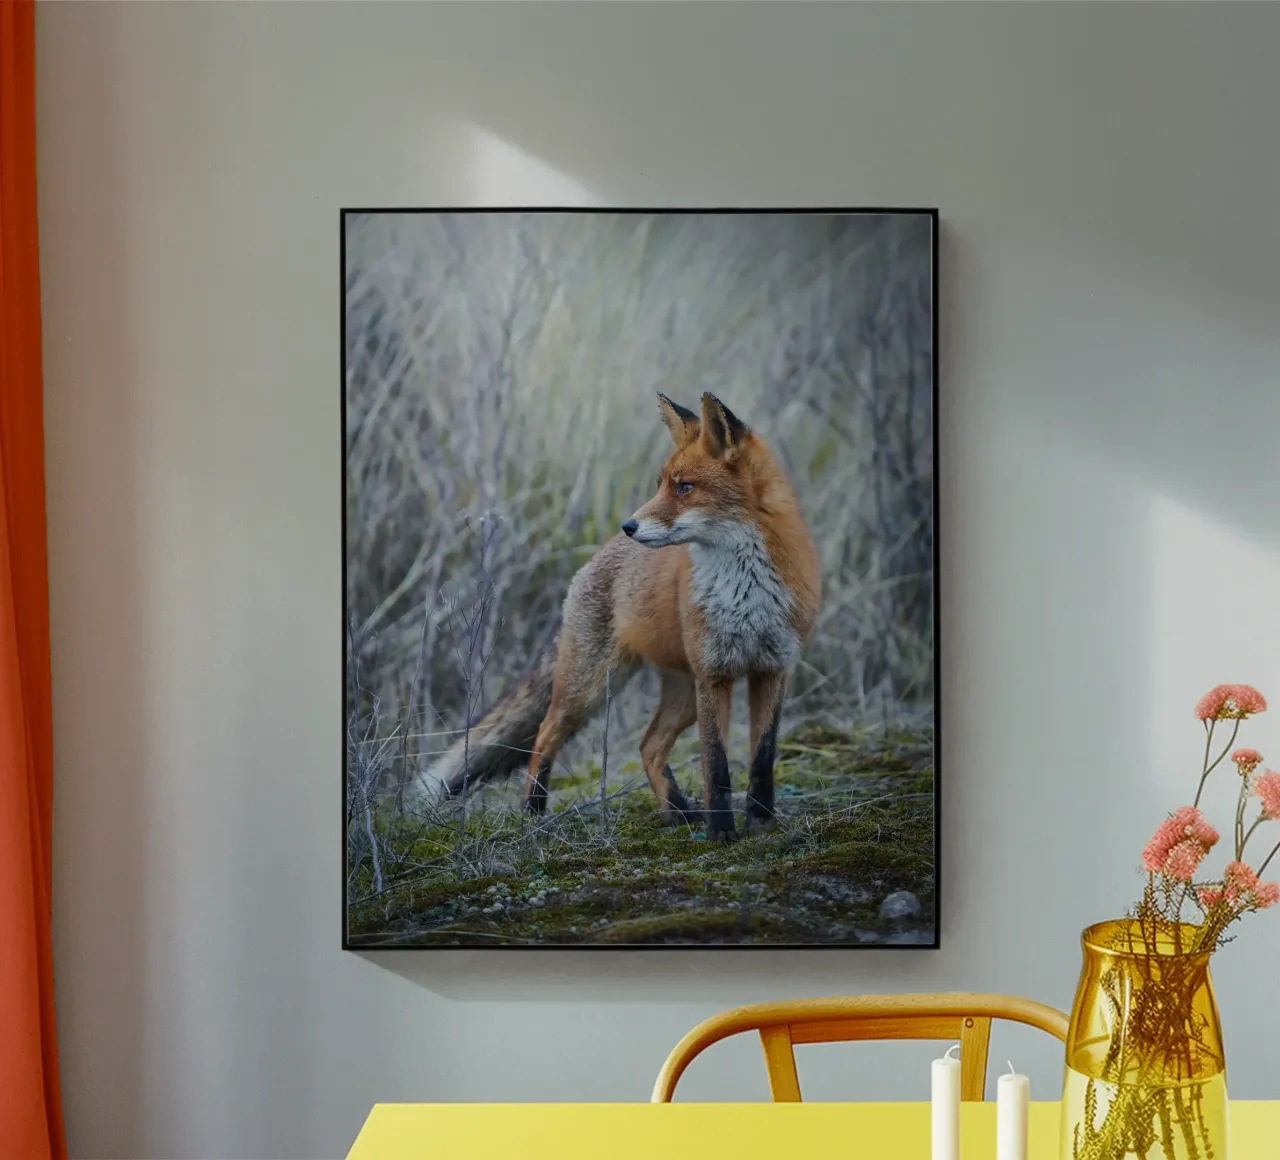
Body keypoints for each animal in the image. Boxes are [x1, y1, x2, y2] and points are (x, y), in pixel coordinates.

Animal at [430, 392, 822, 842]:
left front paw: (760, 822)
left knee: (648, 746)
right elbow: (716, 766)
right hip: (591, 687)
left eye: (685, 487)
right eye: (661, 484)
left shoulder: (772, 668)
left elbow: (762, 758)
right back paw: (533, 812)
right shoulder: (714, 675)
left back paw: (678, 813)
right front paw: (722, 832)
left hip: (682, 694)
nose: (629, 525)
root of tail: (595, 557)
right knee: (545, 735)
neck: (746, 590)